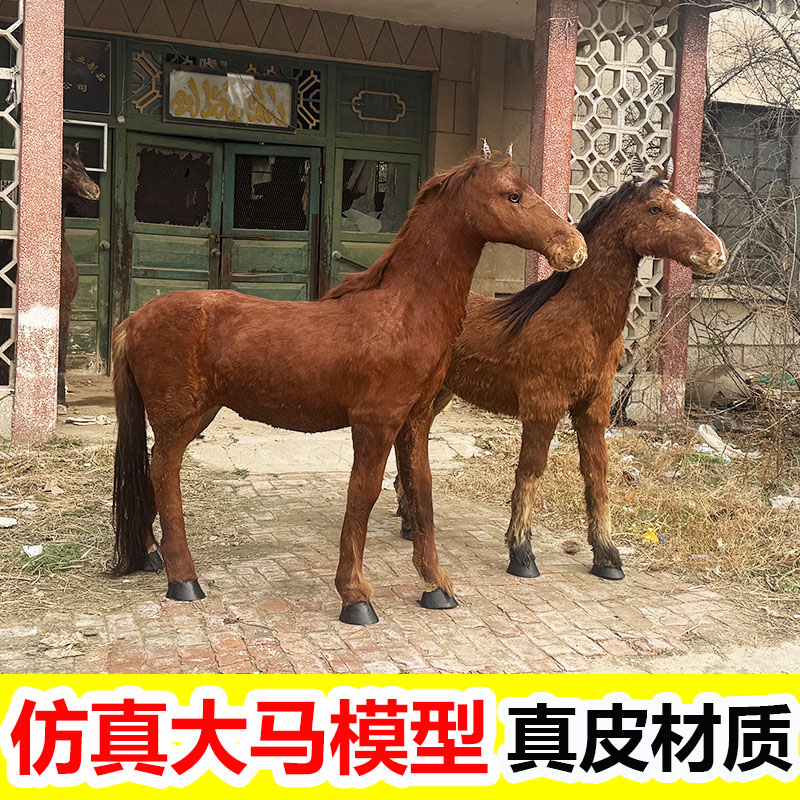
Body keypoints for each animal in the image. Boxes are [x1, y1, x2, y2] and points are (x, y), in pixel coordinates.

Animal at [110, 148, 588, 625]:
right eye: (513, 195)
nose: (575, 248)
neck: (403, 312)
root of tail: (134, 321)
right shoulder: (375, 424)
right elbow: (363, 494)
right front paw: (355, 596)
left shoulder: (415, 421)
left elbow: (421, 492)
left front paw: (436, 586)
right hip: (179, 420)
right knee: (163, 474)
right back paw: (183, 580)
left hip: (196, 416)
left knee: (152, 473)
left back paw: (151, 556)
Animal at [395, 158, 727, 583]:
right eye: (656, 209)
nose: (717, 253)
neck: (583, 322)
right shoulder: (543, 407)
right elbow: (530, 472)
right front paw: (522, 554)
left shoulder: (593, 409)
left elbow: (597, 475)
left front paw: (607, 558)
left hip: (440, 395)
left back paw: (407, 519)